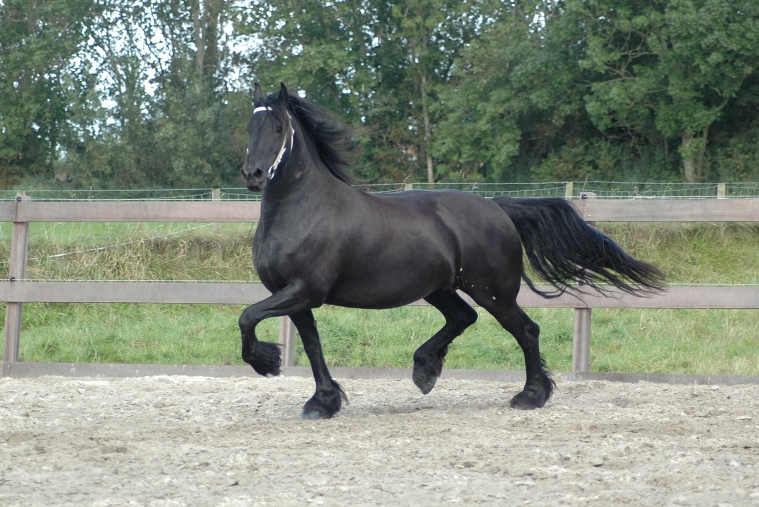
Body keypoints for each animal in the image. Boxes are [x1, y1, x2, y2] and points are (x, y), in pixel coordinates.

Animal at [238, 82, 665, 419]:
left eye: (278, 127)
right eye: (249, 126)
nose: (253, 174)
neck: (304, 210)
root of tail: (497, 207)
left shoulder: (305, 290)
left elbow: (247, 317)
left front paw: (267, 362)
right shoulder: (295, 296)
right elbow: (311, 346)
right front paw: (323, 402)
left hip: (493, 291)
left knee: (525, 329)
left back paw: (530, 396)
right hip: (441, 288)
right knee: (464, 317)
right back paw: (425, 370)